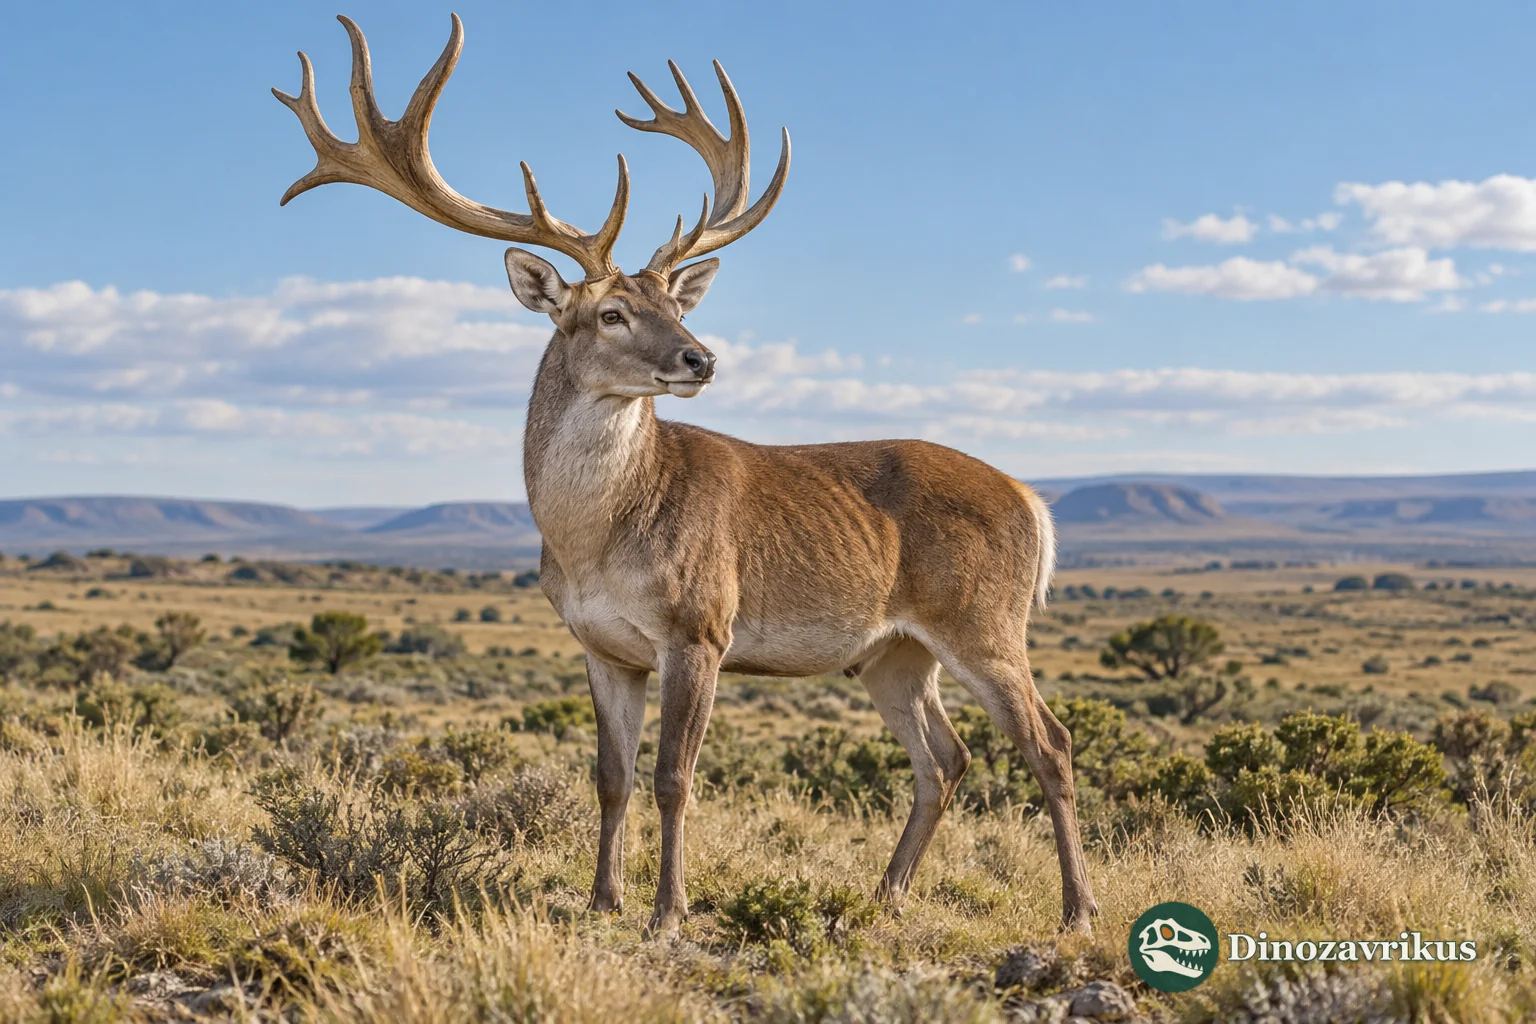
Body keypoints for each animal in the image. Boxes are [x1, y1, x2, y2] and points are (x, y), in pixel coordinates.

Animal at [275, 14, 1098, 938]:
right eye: (610, 312)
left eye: (677, 304)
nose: (700, 358)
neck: (595, 542)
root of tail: (1032, 501)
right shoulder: (602, 645)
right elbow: (611, 775)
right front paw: (602, 899)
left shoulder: (700, 626)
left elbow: (675, 777)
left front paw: (667, 913)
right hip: (893, 651)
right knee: (944, 759)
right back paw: (883, 897)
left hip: (984, 623)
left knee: (1050, 743)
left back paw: (1076, 911)